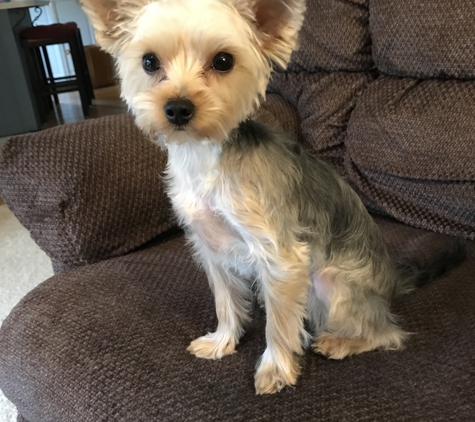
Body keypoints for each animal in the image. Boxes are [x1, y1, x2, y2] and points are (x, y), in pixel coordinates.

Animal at [80, 0, 466, 394]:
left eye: (223, 61)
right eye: (149, 61)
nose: (177, 108)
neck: (204, 156)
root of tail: (391, 282)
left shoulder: (280, 256)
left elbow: (279, 326)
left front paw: (276, 369)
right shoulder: (210, 247)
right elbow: (225, 301)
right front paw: (222, 341)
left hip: (329, 282)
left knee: (387, 332)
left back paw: (341, 341)